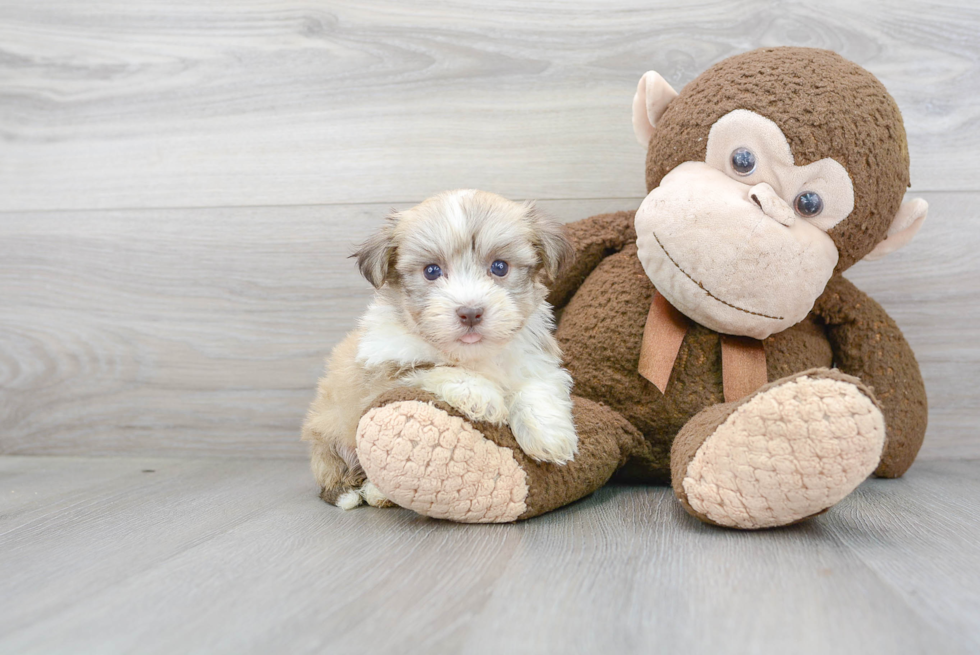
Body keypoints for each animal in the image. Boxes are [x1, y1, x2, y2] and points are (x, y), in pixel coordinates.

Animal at [302, 187, 580, 510]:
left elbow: (536, 387)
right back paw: (359, 492)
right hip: (328, 436)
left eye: (499, 267)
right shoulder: (385, 372)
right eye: (432, 271)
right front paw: (482, 396)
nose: (470, 312)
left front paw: (549, 435)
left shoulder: (533, 356)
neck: (472, 355)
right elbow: (434, 367)